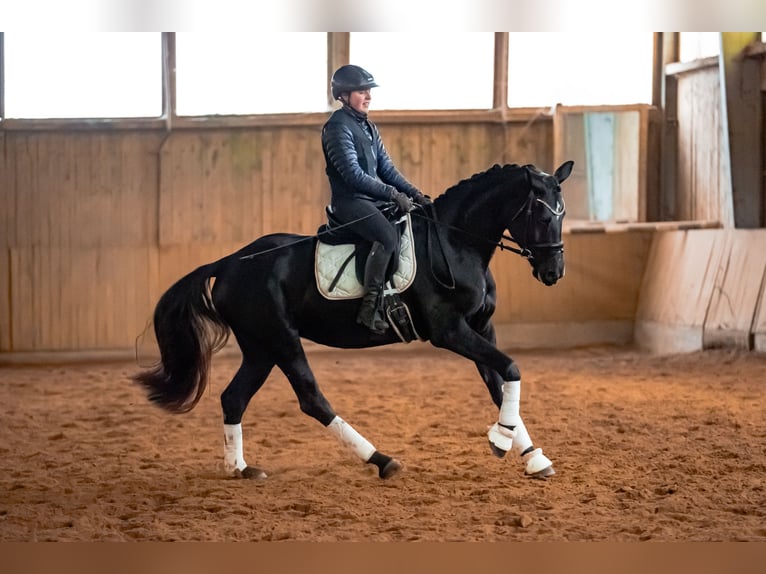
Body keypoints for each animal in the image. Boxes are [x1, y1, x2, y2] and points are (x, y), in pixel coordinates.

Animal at [133, 160, 574, 481]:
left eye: (563, 212)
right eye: (540, 214)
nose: (553, 272)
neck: (455, 241)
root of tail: (228, 263)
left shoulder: (481, 329)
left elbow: (500, 385)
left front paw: (532, 456)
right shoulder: (450, 331)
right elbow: (512, 369)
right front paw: (501, 440)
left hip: (260, 347)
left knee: (234, 398)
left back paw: (240, 468)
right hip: (281, 339)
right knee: (311, 399)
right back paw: (381, 460)